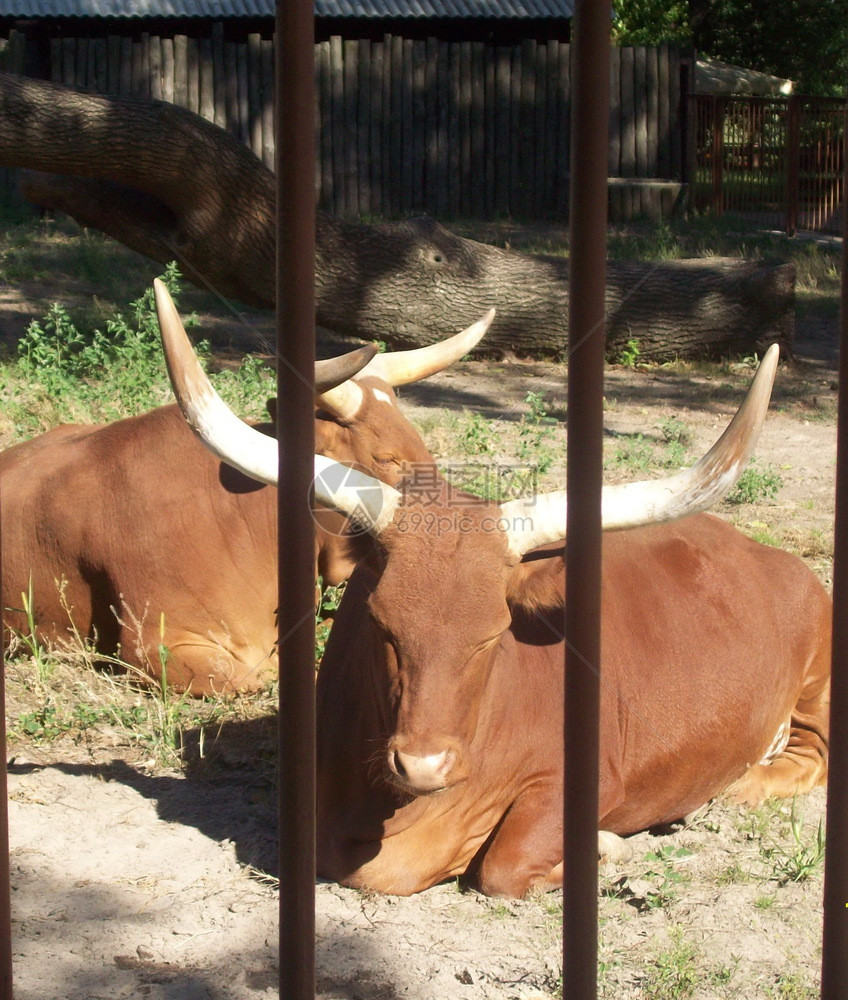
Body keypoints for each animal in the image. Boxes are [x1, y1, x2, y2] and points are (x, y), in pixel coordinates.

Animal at [172, 344, 828, 900]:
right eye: (382, 626)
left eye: (492, 636)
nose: (423, 764)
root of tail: (769, 553)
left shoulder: (589, 782)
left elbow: (503, 869)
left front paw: (607, 849)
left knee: (813, 753)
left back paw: (739, 786)